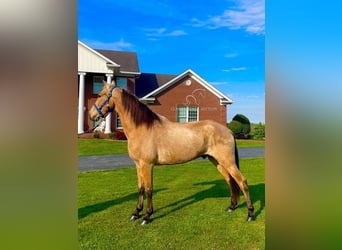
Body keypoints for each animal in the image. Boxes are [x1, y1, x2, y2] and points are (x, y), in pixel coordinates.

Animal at [88, 80, 254, 225]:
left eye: (100, 94)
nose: (91, 115)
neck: (142, 128)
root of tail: (228, 130)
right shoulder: (138, 165)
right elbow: (140, 188)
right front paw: (136, 213)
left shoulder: (147, 165)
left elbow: (149, 189)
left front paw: (147, 216)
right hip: (218, 162)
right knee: (230, 181)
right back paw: (231, 207)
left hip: (228, 162)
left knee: (242, 182)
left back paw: (250, 214)